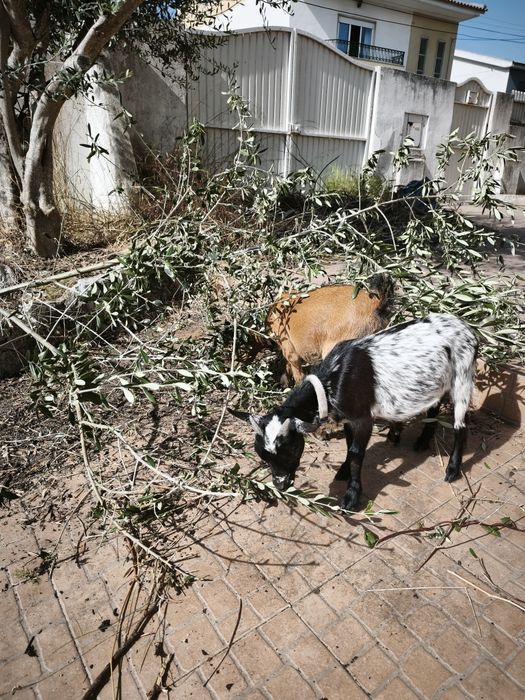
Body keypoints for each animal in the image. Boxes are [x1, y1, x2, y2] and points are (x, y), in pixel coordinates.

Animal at [233, 313, 478, 511]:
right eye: (262, 455)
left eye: (292, 449)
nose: (280, 484)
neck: (332, 380)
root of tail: (467, 328)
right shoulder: (348, 418)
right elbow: (349, 447)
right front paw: (343, 472)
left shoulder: (363, 418)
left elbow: (357, 453)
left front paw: (351, 497)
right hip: (438, 382)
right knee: (434, 405)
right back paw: (422, 441)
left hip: (463, 377)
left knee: (461, 424)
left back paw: (453, 469)